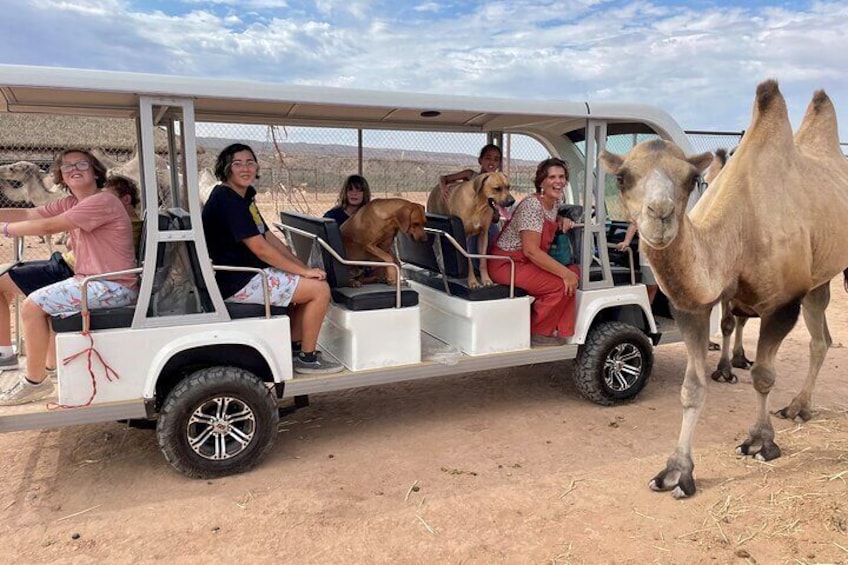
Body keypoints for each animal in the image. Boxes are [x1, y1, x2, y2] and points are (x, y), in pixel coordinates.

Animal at [599, 79, 848, 498]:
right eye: (622, 177)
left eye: (689, 180)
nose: (660, 213)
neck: (739, 230)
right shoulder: (695, 305)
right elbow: (692, 388)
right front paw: (676, 473)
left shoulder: (783, 302)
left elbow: (763, 376)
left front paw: (761, 442)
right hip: (819, 277)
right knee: (822, 337)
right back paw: (796, 406)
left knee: (818, 339)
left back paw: (798, 407)